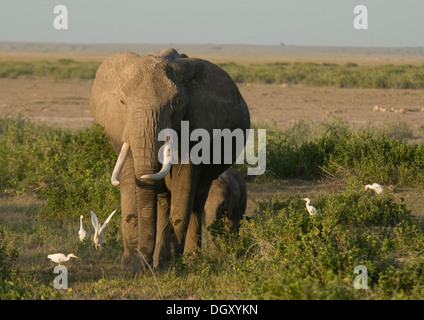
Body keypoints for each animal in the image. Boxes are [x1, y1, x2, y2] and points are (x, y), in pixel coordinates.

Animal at [89, 48, 248, 272]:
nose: (143, 264)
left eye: (176, 104)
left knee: (197, 201)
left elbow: (183, 183)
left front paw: (167, 267)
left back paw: (189, 259)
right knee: (165, 200)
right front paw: (131, 268)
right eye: (122, 102)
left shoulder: (195, 129)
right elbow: (128, 179)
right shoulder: (121, 129)